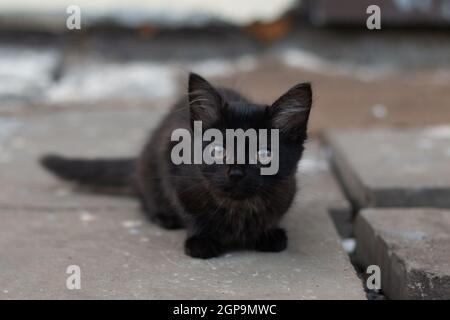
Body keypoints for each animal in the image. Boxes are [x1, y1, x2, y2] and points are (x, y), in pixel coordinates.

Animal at [42, 74, 312, 258]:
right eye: (217, 150)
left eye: (263, 154)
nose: (235, 172)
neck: (237, 208)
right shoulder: (174, 171)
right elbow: (189, 212)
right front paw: (201, 241)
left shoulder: (287, 191)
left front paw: (268, 234)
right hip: (149, 166)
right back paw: (163, 216)